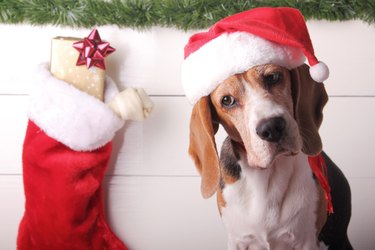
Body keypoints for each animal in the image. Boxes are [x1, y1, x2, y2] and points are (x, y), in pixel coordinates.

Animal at [189, 63, 354, 249]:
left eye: (273, 77)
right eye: (227, 100)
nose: (272, 128)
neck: (267, 175)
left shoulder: (306, 241)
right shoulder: (237, 240)